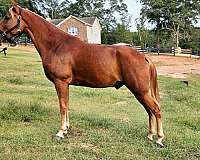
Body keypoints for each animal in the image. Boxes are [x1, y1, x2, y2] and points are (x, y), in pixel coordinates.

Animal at [0, 5, 165, 146]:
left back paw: (159, 139)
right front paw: (66, 128)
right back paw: (150, 135)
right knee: (149, 111)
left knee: (155, 109)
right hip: (140, 92)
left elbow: (62, 106)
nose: (0, 33)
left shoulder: (60, 82)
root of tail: (144, 56)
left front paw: (61, 132)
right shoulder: (65, 84)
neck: (56, 45)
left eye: (7, 17)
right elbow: (66, 105)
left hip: (141, 91)